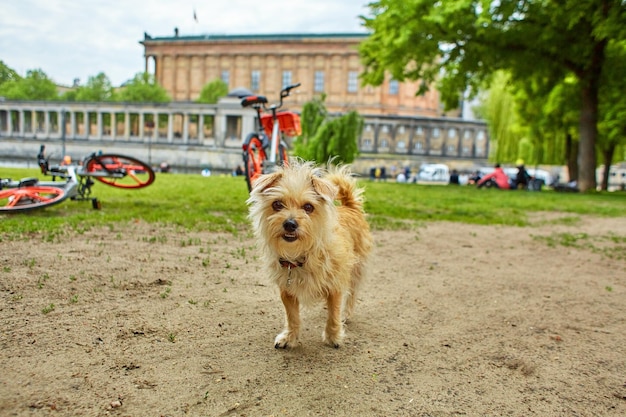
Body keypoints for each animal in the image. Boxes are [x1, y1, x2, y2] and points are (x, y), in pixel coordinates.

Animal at [245, 159, 370, 348]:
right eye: (277, 204)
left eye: (308, 207)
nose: (290, 224)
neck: (301, 256)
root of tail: (349, 206)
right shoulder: (287, 291)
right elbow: (292, 316)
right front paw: (290, 337)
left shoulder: (334, 284)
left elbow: (334, 313)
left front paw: (333, 337)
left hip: (356, 269)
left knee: (351, 294)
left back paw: (346, 313)